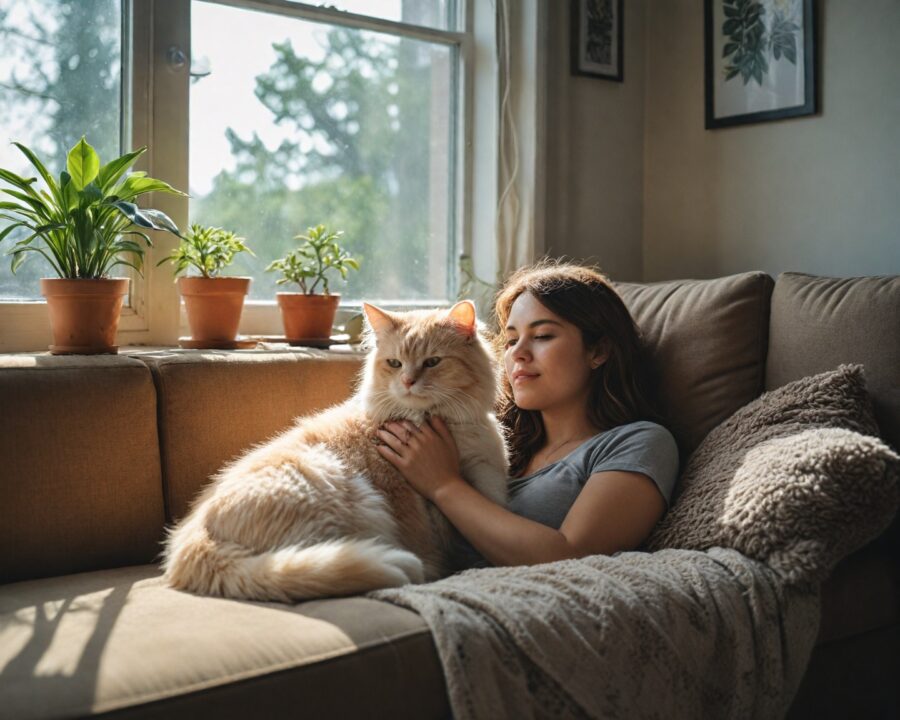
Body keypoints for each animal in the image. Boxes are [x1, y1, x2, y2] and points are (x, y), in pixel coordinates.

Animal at [162, 300, 506, 604]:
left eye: (433, 362)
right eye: (394, 363)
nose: (408, 381)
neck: (431, 422)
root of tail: (189, 540)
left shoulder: (484, 480)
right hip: (343, 495)